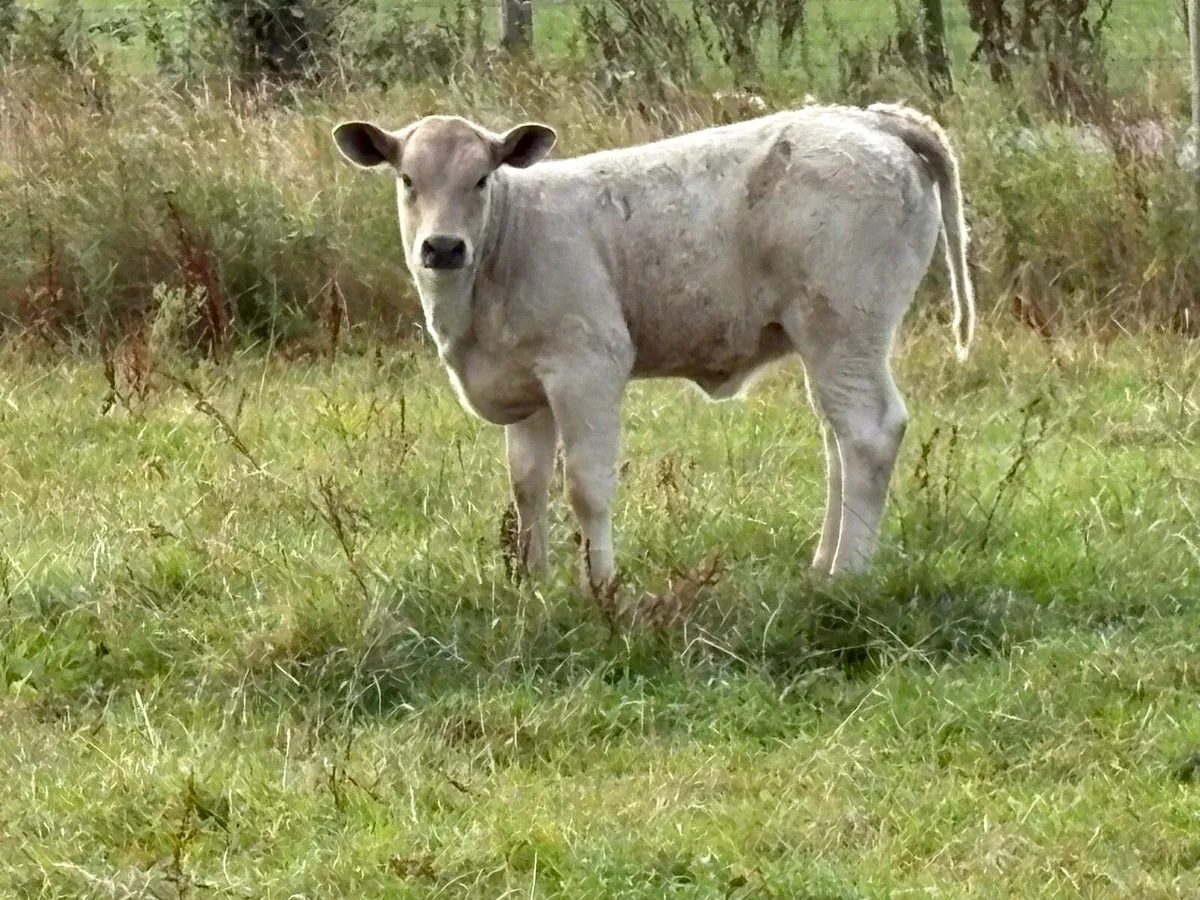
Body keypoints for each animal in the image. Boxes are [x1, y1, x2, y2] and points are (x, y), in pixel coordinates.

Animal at [331, 102, 975, 589]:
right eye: (408, 181)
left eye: (481, 179)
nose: (442, 247)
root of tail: (872, 118)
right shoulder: (527, 388)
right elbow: (527, 486)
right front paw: (533, 585)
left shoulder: (587, 368)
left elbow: (586, 487)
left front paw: (600, 587)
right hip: (827, 343)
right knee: (837, 440)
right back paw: (821, 569)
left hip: (845, 326)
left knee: (868, 434)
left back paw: (847, 576)